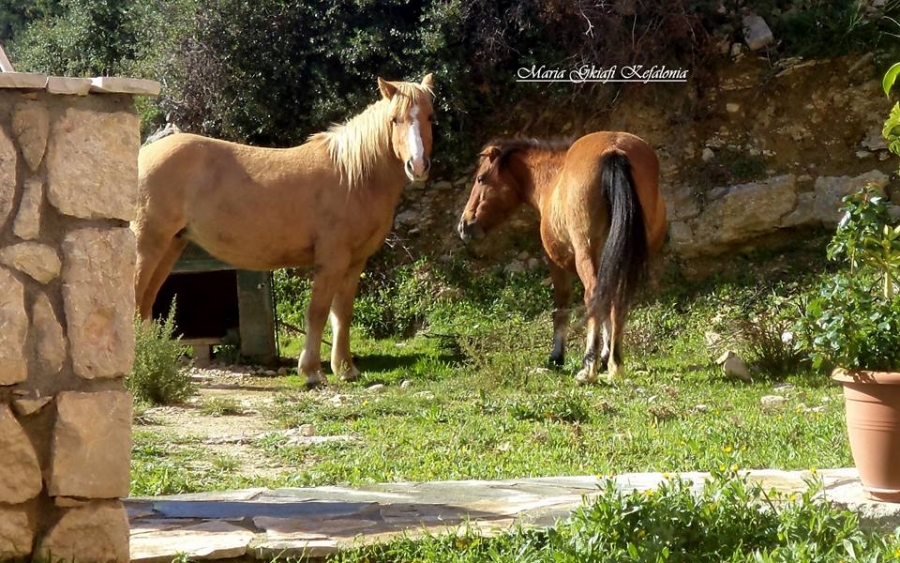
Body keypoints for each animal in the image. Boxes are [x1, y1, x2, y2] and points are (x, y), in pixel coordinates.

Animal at [134, 74, 440, 388]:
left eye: (431, 117)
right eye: (394, 119)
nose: (418, 165)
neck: (353, 176)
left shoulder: (355, 262)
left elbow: (342, 314)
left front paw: (346, 369)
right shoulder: (331, 260)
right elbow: (318, 312)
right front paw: (312, 371)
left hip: (170, 246)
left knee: (145, 303)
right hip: (147, 245)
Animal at [460, 132, 664, 384]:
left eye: (481, 178)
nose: (465, 225)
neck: (553, 178)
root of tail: (614, 151)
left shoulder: (556, 263)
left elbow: (561, 307)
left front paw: (557, 355)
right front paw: (605, 357)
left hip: (586, 254)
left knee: (593, 295)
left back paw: (588, 367)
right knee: (616, 298)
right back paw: (615, 363)